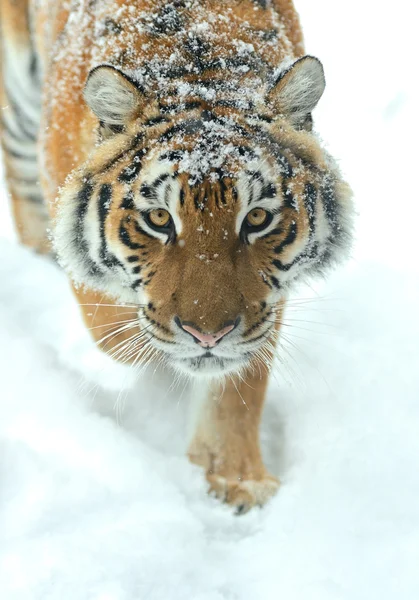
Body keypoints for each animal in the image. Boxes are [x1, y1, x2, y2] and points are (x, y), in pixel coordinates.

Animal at [0, 1, 354, 510]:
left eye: (257, 218)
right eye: (159, 219)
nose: (207, 336)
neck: (198, 68)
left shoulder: (268, 294)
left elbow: (241, 381)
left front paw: (235, 477)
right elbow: (114, 332)